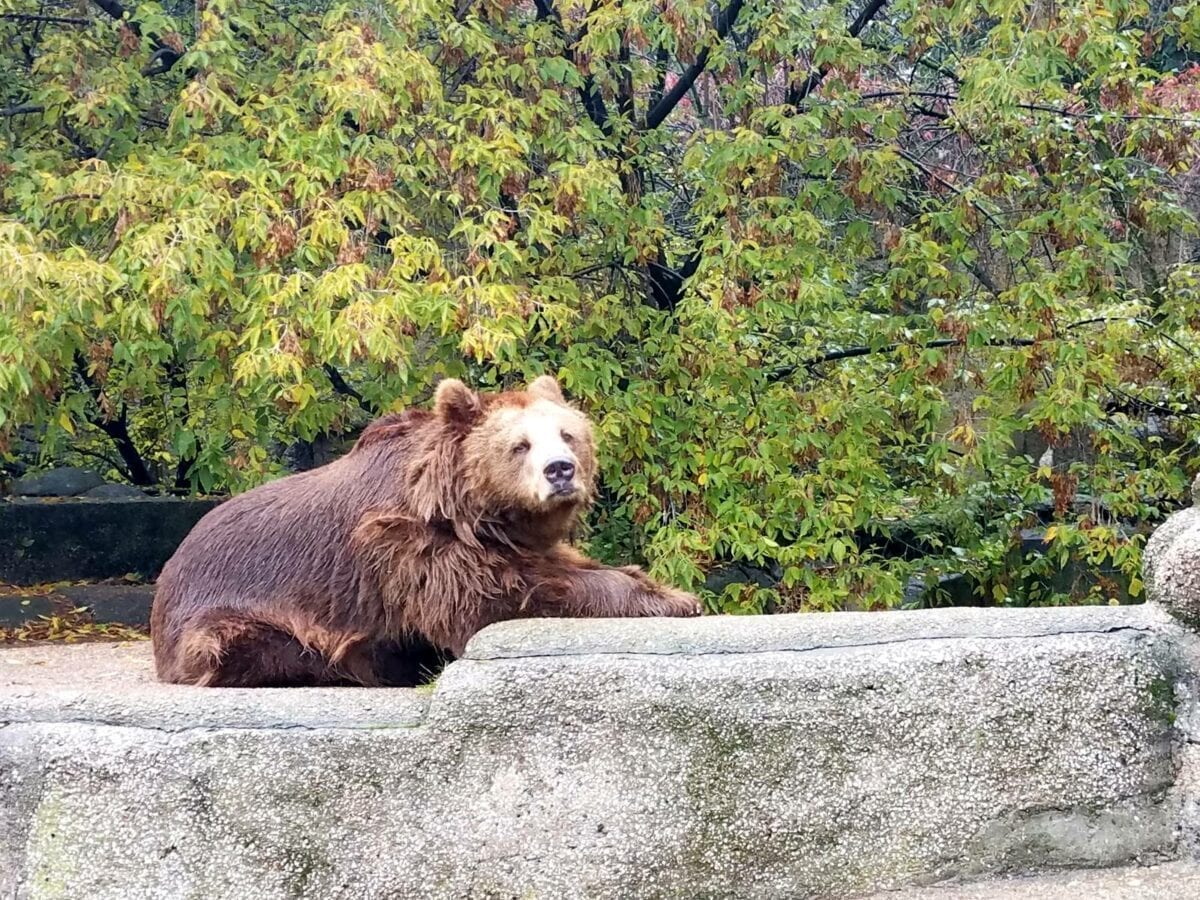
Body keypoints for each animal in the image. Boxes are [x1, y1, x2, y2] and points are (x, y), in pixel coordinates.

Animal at [151, 376, 700, 686]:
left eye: (568, 433)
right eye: (519, 445)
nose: (560, 470)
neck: (465, 508)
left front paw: (664, 587)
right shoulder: (406, 545)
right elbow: (494, 597)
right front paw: (675, 599)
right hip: (227, 620)